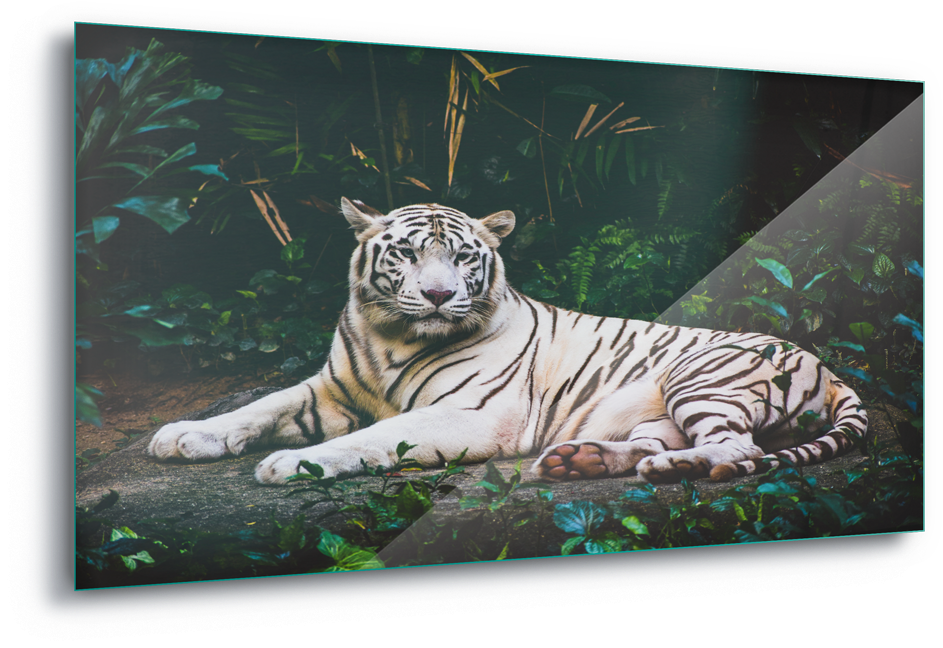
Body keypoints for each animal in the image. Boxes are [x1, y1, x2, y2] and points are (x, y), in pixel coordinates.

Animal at [147, 198, 868, 486]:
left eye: (464, 257)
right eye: (407, 254)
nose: (440, 295)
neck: (390, 337)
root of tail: (831, 369)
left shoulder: (475, 413)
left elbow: (374, 437)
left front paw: (291, 465)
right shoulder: (328, 389)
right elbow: (258, 405)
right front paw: (182, 436)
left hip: (701, 378)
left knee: (737, 449)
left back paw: (670, 470)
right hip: (655, 411)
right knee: (660, 442)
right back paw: (578, 462)